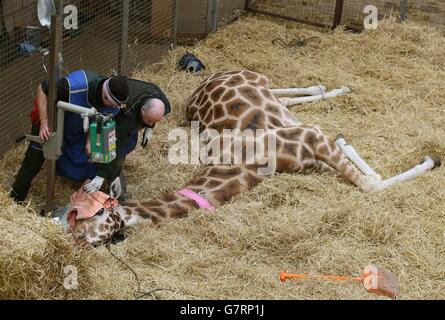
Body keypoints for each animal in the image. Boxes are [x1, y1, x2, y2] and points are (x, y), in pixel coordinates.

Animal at [64, 70, 438, 245]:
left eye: (81, 223)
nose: (75, 245)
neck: (244, 165)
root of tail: (204, 82)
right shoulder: (308, 150)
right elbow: (362, 170)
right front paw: (348, 142)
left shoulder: (311, 137)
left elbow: (371, 184)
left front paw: (431, 160)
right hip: (270, 96)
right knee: (290, 100)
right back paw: (330, 91)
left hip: (256, 79)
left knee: (285, 92)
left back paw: (338, 88)